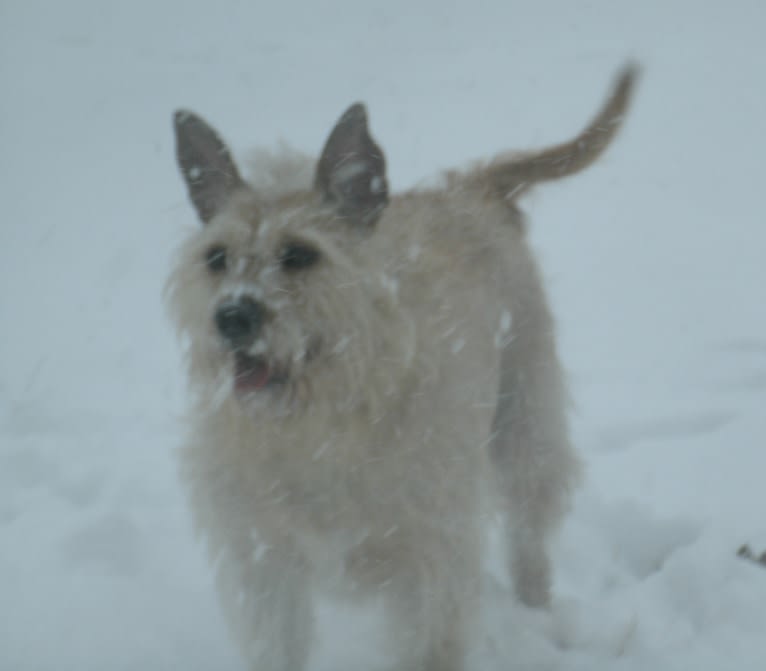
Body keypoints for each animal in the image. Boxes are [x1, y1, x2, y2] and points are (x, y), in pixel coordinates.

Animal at [170, 64, 640, 671]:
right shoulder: (265, 559)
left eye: (299, 254)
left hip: (525, 419)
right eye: (217, 258)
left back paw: (537, 611)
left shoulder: (431, 564)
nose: (231, 317)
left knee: (529, 533)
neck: (319, 422)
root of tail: (470, 189)